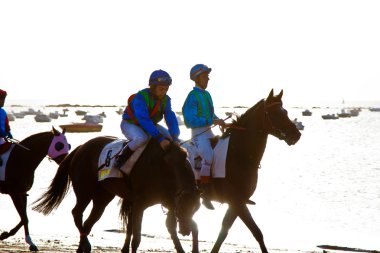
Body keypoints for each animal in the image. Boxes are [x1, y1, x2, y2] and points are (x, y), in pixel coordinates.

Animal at [33, 136, 200, 253]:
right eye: (183, 209)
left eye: (195, 209)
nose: (185, 231)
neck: (166, 167)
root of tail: (81, 148)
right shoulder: (140, 203)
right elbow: (136, 236)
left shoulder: (170, 203)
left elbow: (175, 228)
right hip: (84, 191)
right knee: (77, 212)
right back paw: (85, 244)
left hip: (103, 198)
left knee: (88, 222)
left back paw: (83, 246)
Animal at [183, 90, 300, 252]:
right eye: (275, 113)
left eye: (285, 112)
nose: (297, 135)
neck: (238, 154)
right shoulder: (237, 201)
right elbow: (255, 231)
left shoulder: (236, 203)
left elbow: (226, 231)